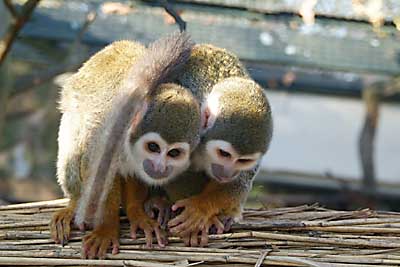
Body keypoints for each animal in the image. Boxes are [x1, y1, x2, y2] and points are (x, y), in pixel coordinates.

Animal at [50, 31, 200, 260]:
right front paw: (106, 228)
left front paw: (136, 213)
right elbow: (94, 167)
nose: (159, 167)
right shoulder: (108, 129)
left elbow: (134, 174)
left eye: (174, 153)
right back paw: (75, 203)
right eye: (153, 147)